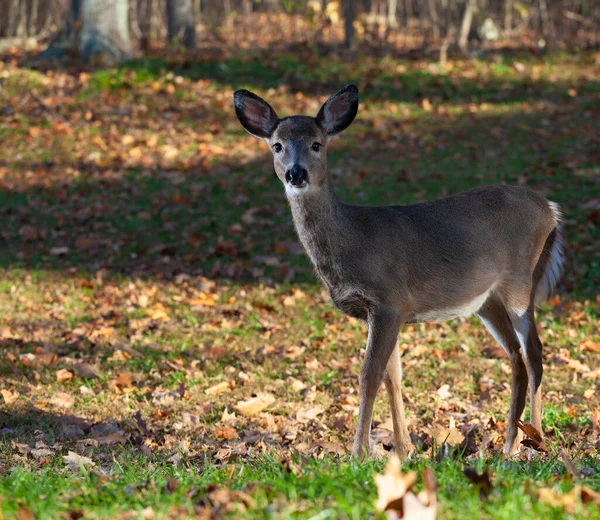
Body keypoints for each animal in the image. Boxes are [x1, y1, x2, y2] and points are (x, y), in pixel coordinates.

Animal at [232, 85, 564, 460]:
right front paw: (404, 450)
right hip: (487, 301)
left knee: (534, 351)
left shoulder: (389, 300)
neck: (353, 238)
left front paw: (358, 454)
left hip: (521, 282)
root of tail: (551, 210)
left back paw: (535, 443)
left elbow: (369, 375)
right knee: (516, 355)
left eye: (317, 144)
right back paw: (508, 446)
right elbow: (393, 376)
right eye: (277, 146)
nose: (296, 173)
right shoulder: (377, 312)